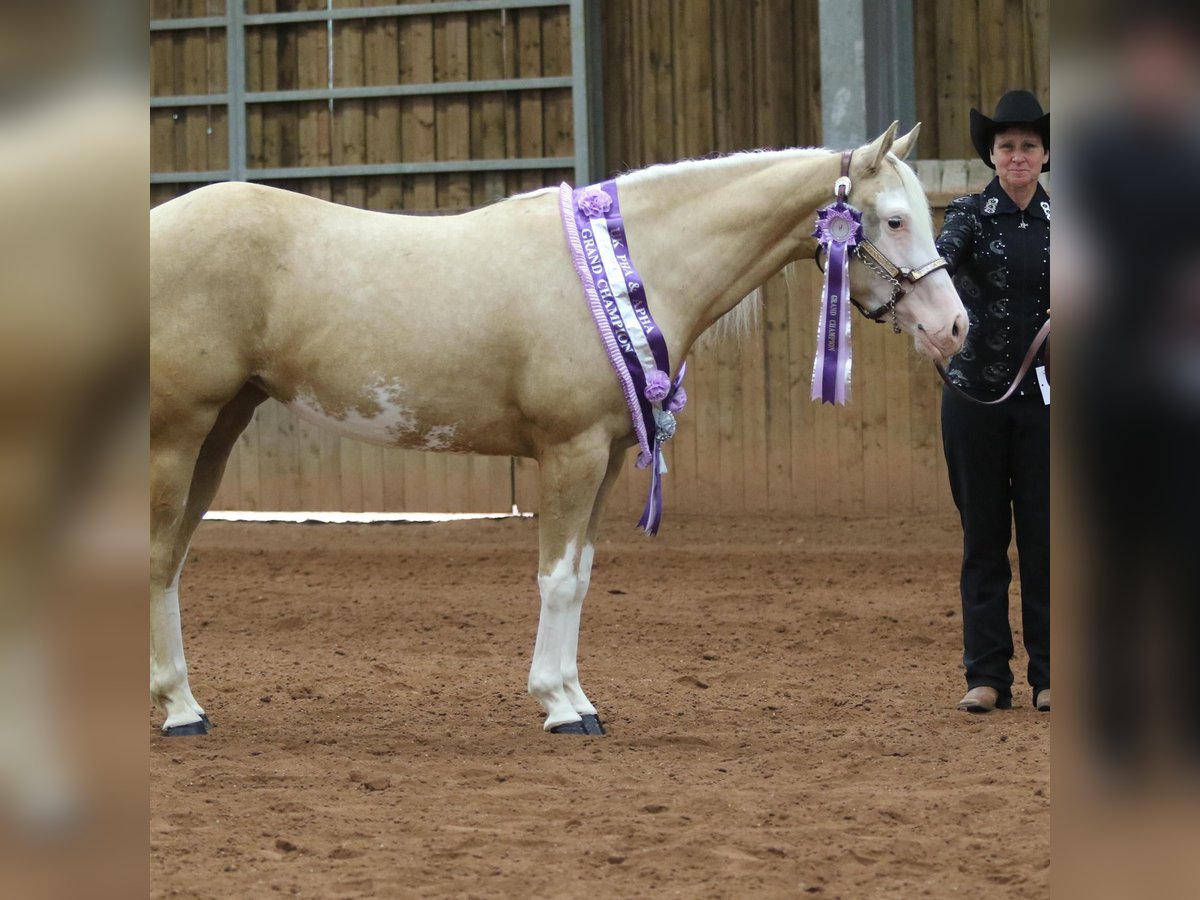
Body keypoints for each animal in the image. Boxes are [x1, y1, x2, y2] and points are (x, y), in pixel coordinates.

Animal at [154, 121, 969, 739]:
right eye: (894, 219)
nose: (954, 327)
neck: (628, 270)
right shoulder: (568, 451)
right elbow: (553, 576)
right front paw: (557, 706)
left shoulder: (603, 456)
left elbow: (578, 577)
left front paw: (577, 697)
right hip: (178, 433)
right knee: (160, 555)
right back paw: (181, 712)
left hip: (220, 431)